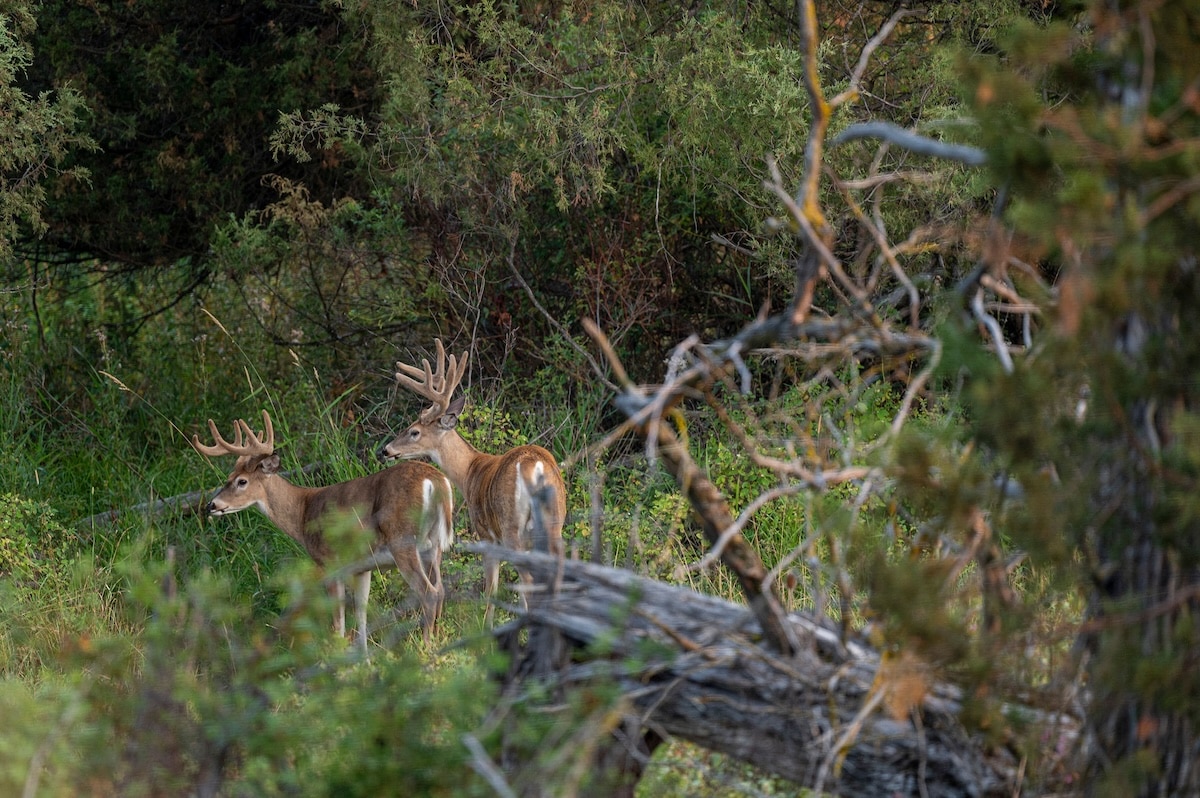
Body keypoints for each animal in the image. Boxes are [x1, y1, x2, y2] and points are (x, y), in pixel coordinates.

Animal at [191, 410, 453, 655]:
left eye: (242, 481)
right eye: (228, 478)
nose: (211, 505)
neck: (302, 511)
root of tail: (436, 480)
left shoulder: (330, 563)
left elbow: (338, 623)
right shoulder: (363, 567)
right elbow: (361, 615)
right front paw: (364, 659)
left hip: (403, 541)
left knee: (429, 592)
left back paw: (427, 647)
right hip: (433, 545)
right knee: (440, 589)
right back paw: (438, 639)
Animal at [381, 339, 566, 626]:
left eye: (414, 432)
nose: (386, 450)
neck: (470, 471)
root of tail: (535, 466)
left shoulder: (486, 534)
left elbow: (492, 587)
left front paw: (487, 627)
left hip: (511, 526)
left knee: (529, 581)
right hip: (555, 521)